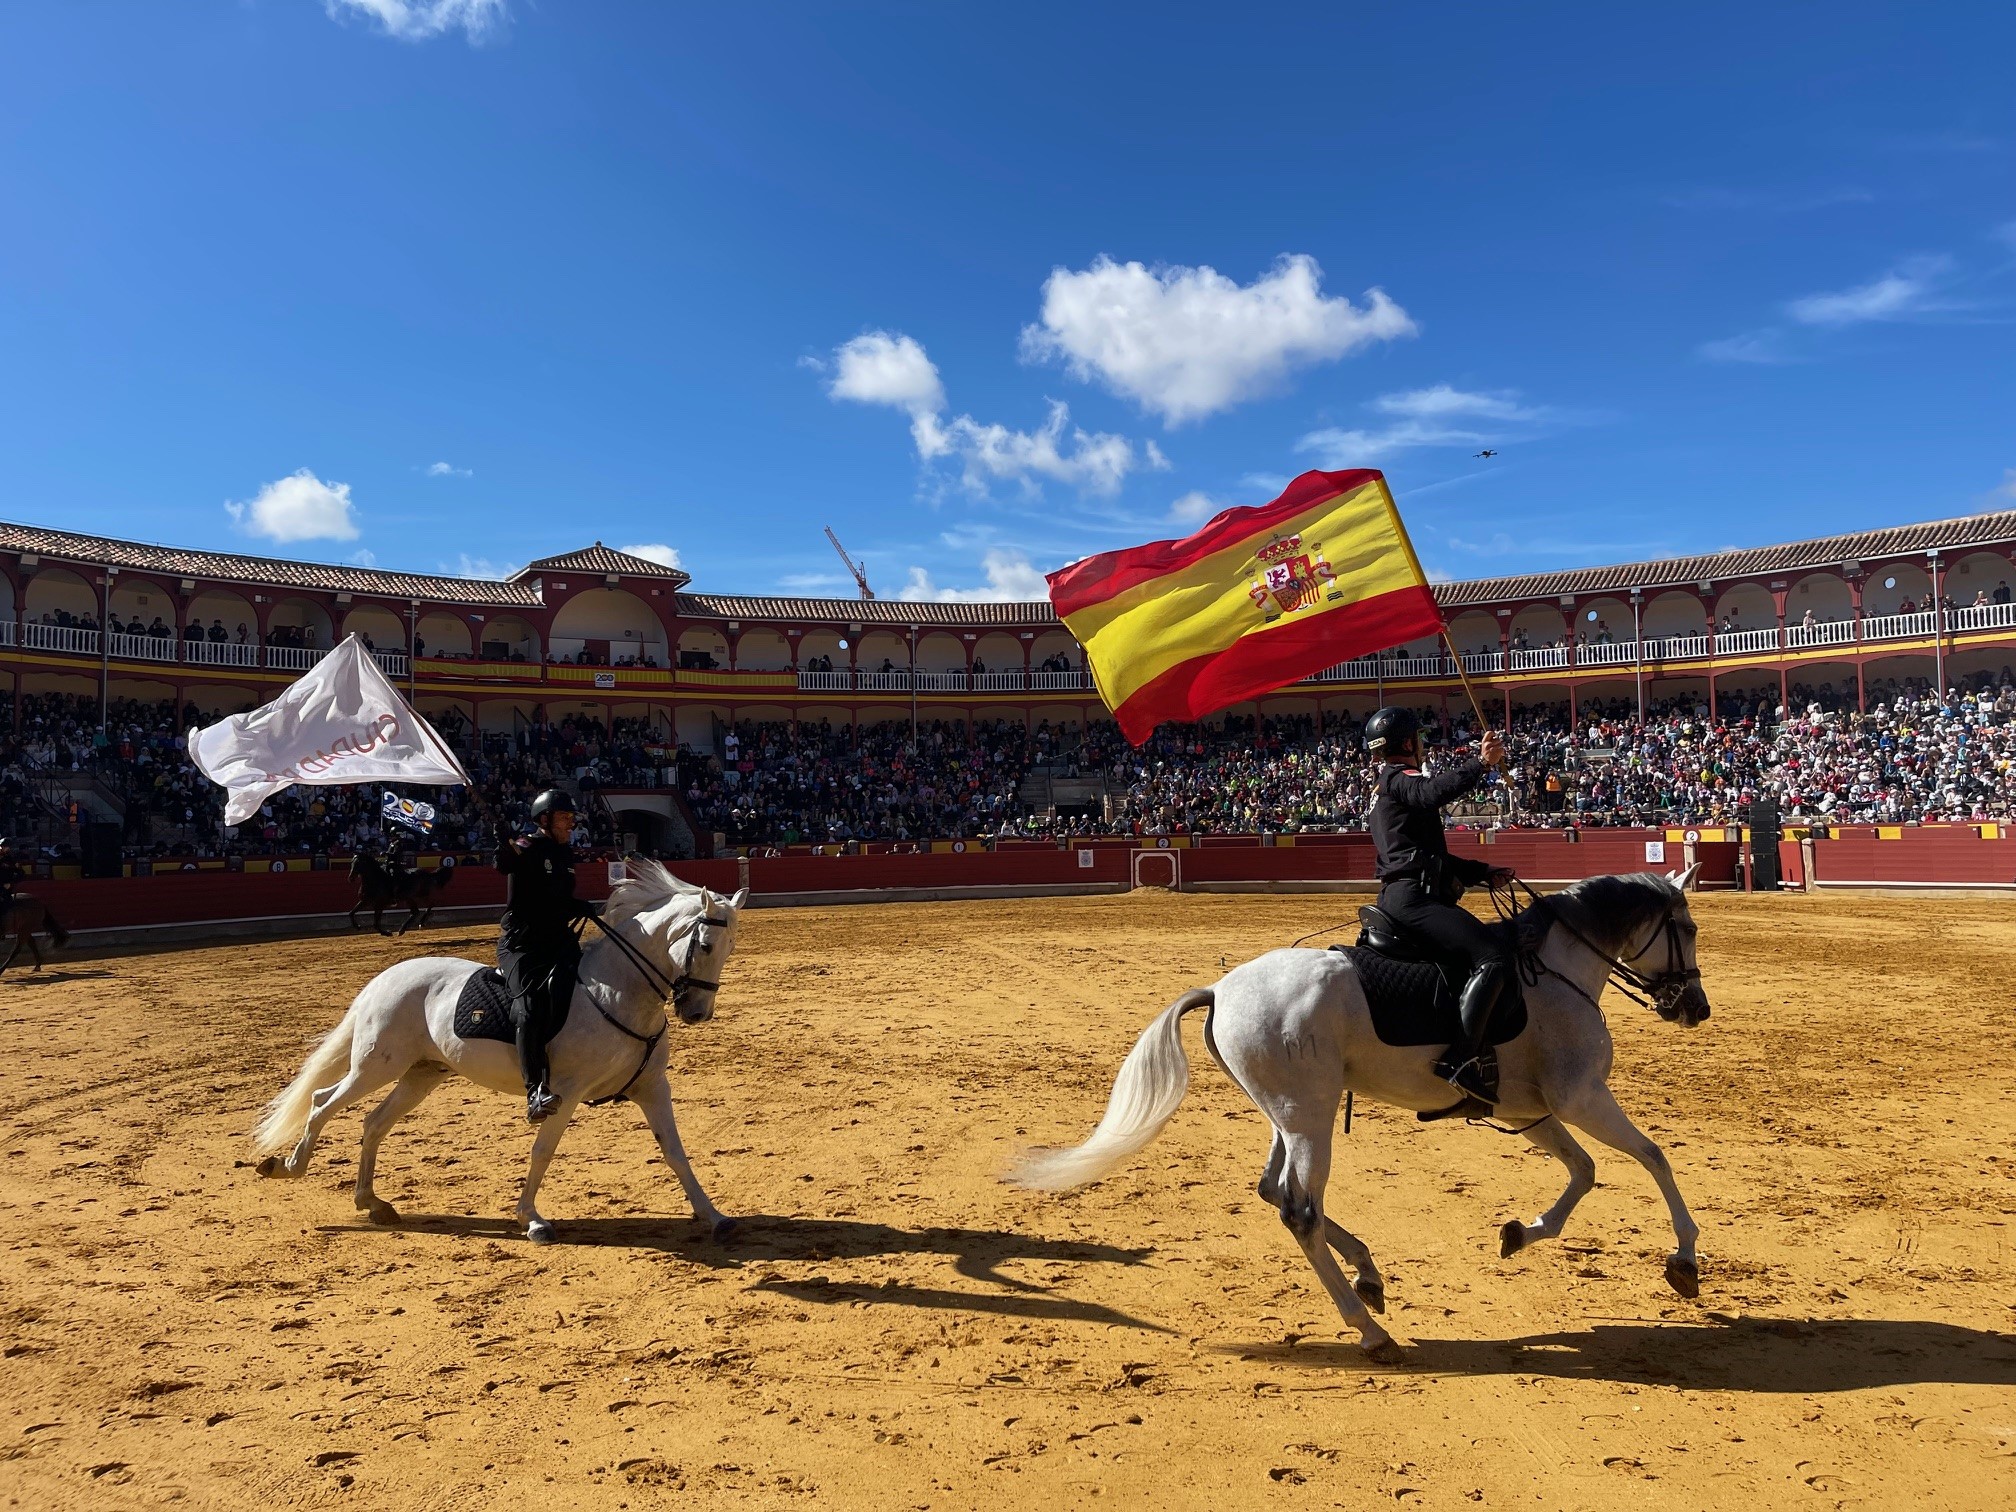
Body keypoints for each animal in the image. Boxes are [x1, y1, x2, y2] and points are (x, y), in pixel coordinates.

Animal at [252, 862, 749, 1241]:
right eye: (705, 944)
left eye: (730, 947)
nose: (697, 1012)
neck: (617, 991)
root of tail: (385, 979)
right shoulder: (564, 1093)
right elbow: (543, 1151)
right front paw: (532, 1220)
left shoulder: (651, 1086)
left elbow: (675, 1152)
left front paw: (715, 1217)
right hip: (376, 1065)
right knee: (323, 1102)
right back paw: (287, 1167)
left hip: (421, 1073)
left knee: (374, 1123)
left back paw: (372, 1202)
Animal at [1016, 870, 1709, 1370]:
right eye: (1688, 927)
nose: (1695, 1008)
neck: (1556, 972)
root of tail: (1221, 989)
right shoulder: (1580, 1096)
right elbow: (1653, 1156)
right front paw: (1684, 1261)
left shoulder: (1532, 1110)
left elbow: (1585, 1170)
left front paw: (1521, 1232)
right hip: (1309, 1117)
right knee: (1300, 1211)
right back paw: (1371, 1330)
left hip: (1291, 1113)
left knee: (1275, 1192)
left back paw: (1369, 1274)